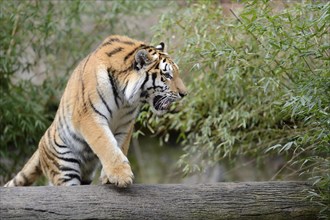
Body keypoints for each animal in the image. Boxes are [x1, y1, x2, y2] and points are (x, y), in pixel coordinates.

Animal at [3, 34, 187, 187]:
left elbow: (119, 146)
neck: (125, 100)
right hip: (64, 165)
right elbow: (106, 144)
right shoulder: (89, 116)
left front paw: (109, 177)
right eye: (167, 75)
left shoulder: (125, 125)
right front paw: (121, 175)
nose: (184, 93)